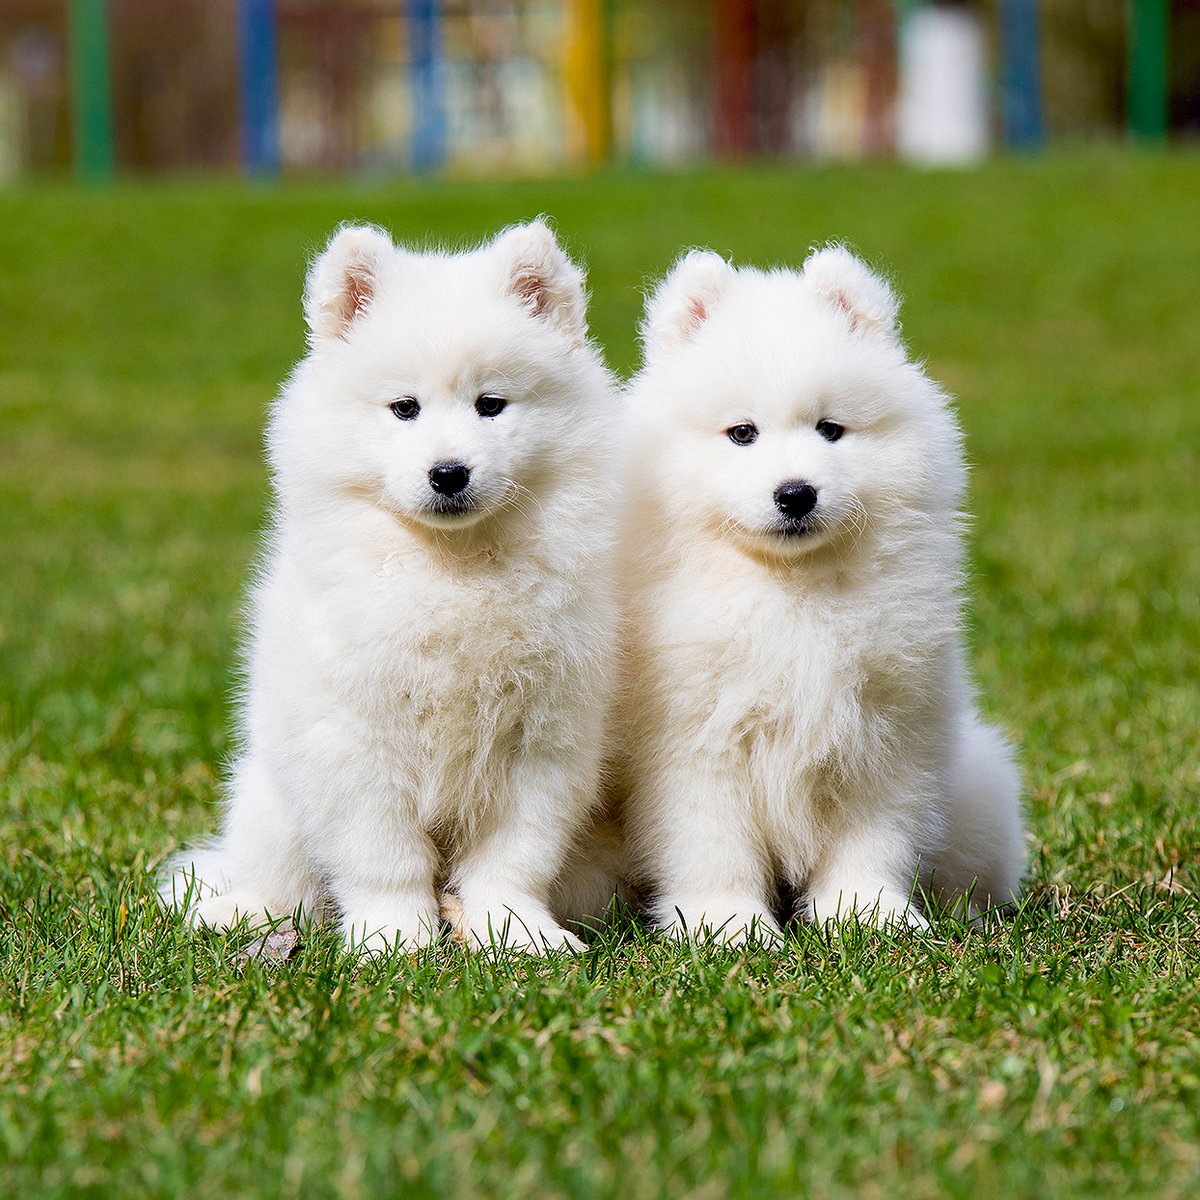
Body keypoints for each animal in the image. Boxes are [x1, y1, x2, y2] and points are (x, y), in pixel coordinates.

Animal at [159, 220, 619, 950]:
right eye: (405, 408)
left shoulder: (542, 741)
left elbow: (512, 858)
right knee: (281, 883)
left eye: (492, 405)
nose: (448, 472)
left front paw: (517, 934)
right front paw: (396, 940)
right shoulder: (356, 739)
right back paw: (236, 912)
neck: (451, 567)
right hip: (271, 799)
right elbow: (385, 858)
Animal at [619, 243, 1022, 936]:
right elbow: (712, 846)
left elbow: (873, 840)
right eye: (743, 433)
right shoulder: (695, 741)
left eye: (830, 429)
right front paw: (728, 927)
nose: (796, 492)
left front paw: (869, 917)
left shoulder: (883, 732)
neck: (790, 589)